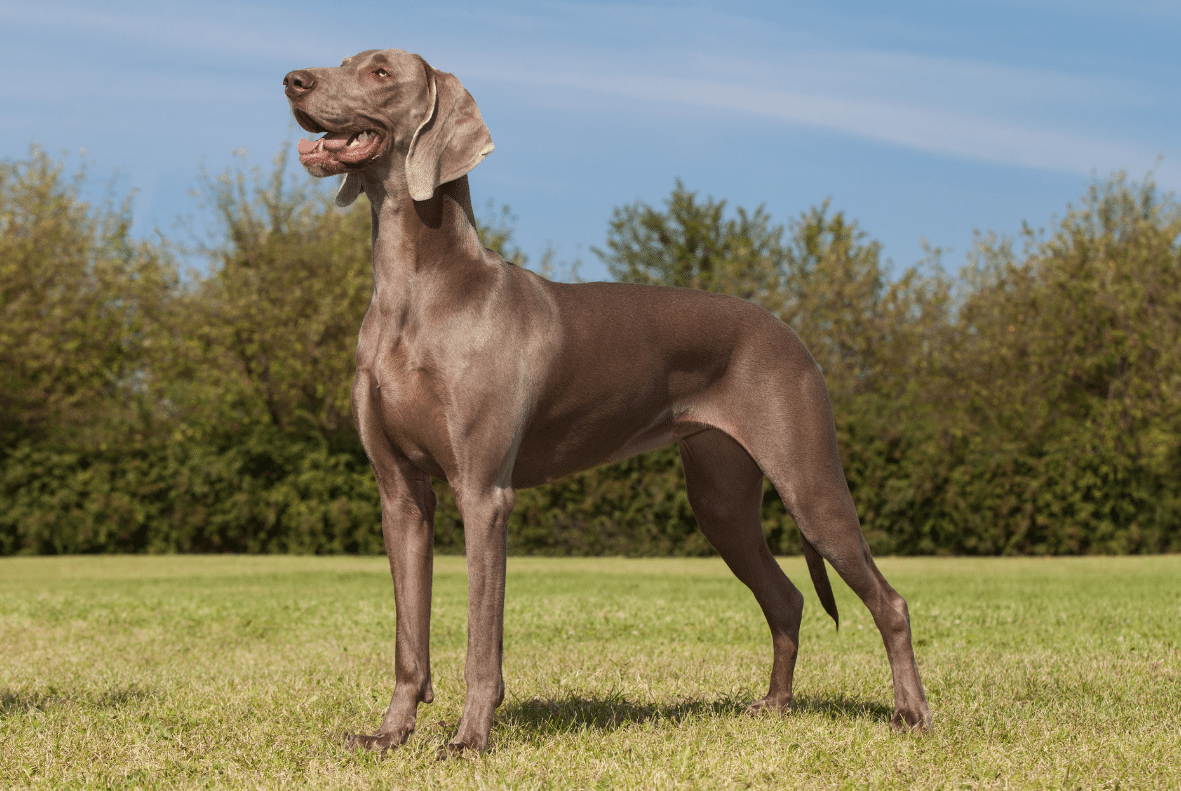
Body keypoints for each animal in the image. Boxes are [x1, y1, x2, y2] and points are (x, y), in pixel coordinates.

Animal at [281, 48, 925, 755]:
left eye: (378, 72)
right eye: (346, 61)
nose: (293, 81)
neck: (419, 291)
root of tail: (790, 333)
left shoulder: (484, 493)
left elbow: (482, 638)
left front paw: (471, 737)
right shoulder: (400, 493)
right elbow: (408, 639)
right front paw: (390, 733)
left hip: (809, 481)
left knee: (889, 601)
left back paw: (911, 713)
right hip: (721, 498)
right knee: (787, 598)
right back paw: (775, 705)